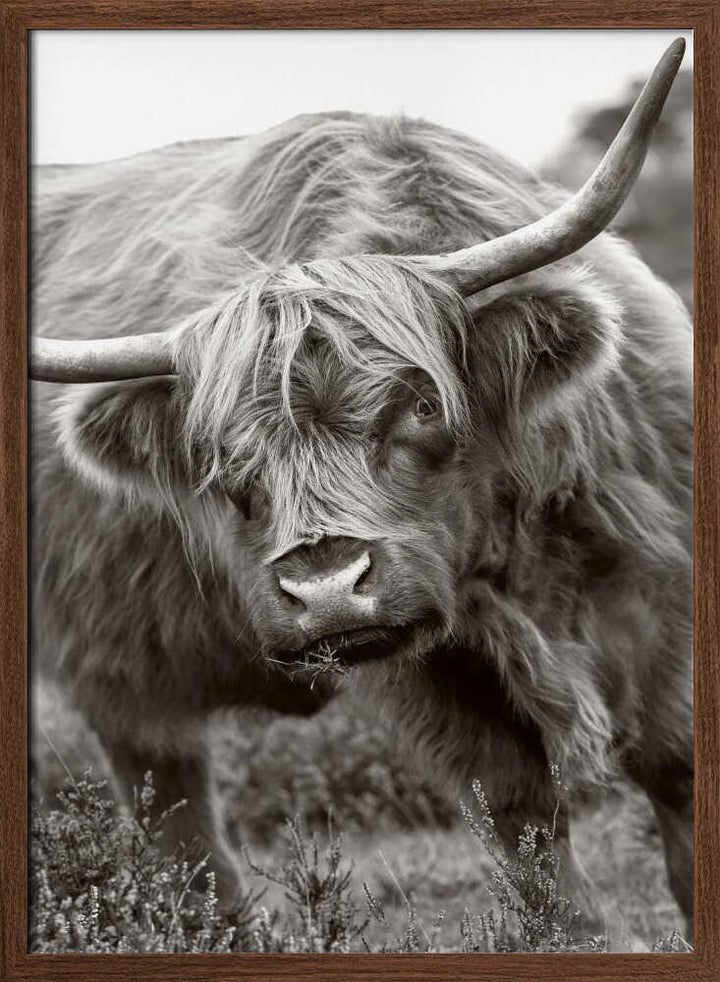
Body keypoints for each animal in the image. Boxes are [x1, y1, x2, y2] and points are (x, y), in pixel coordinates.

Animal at [31, 39, 692, 941]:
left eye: (421, 405)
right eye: (222, 456)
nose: (326, 589)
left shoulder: (663, 589)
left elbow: (678, 772)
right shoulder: (438, 679)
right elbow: (524, 822)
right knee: (175, 815)